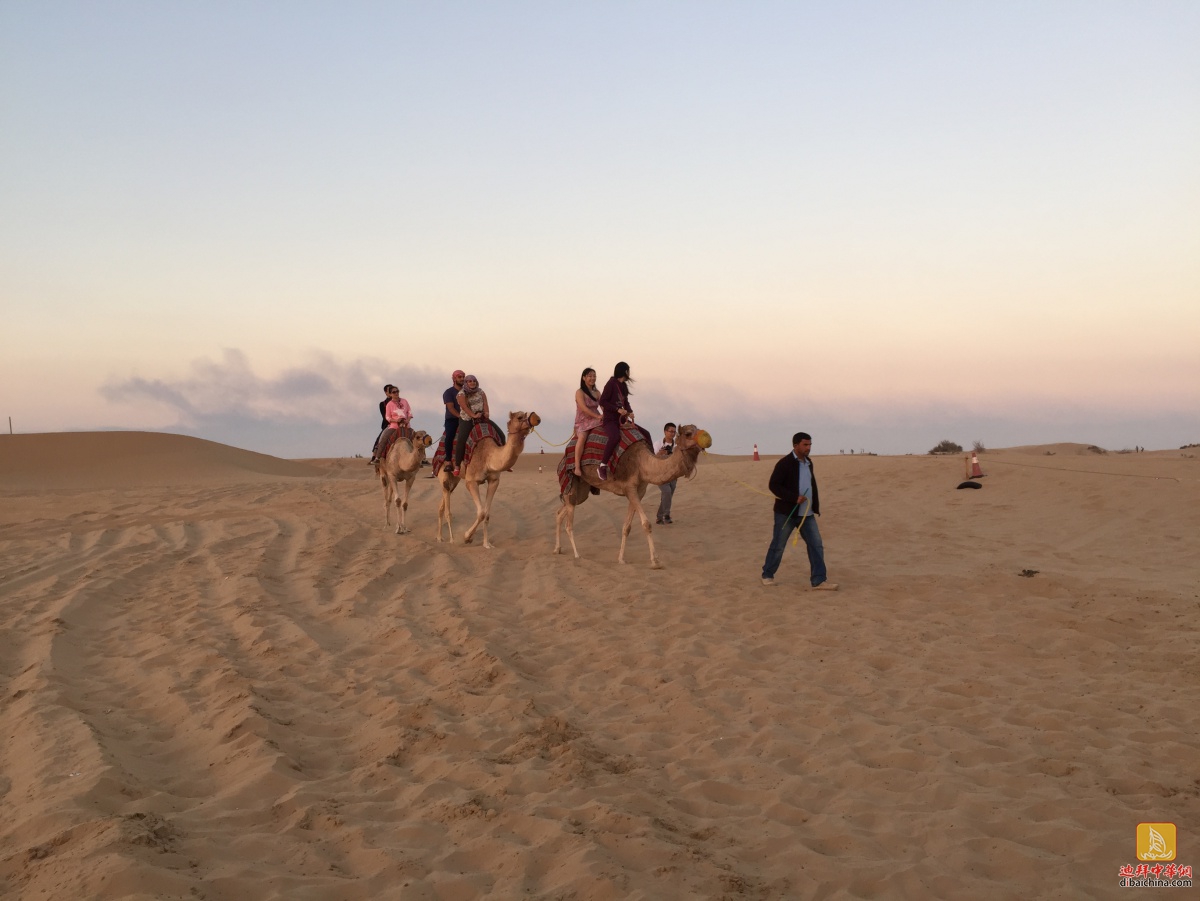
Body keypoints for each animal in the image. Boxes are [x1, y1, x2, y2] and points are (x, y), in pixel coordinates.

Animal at [436, 410, 540, 549]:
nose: (537, 418)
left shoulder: (494, 481)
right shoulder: (471, 482)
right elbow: (481, 513)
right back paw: (451, 540)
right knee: (447, 508)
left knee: (441, 504)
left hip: (455, 479)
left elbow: (487, 514)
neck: (488, 457)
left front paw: (487, 544)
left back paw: (440, 537)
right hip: (444, 474)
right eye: (519, 417)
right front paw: (467, 537)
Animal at [554, 424, 710, 571]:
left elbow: (627, 527)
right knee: (569, 523)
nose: (707, 439)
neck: (643, 463)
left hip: (583, 490)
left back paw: (557, 548)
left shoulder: (639, 491)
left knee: (561, 512)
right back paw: (577, 555)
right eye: (688, 433)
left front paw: (621, 559)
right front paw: (656, 561)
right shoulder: (630, 488)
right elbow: (646, 524)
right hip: (572, 482)